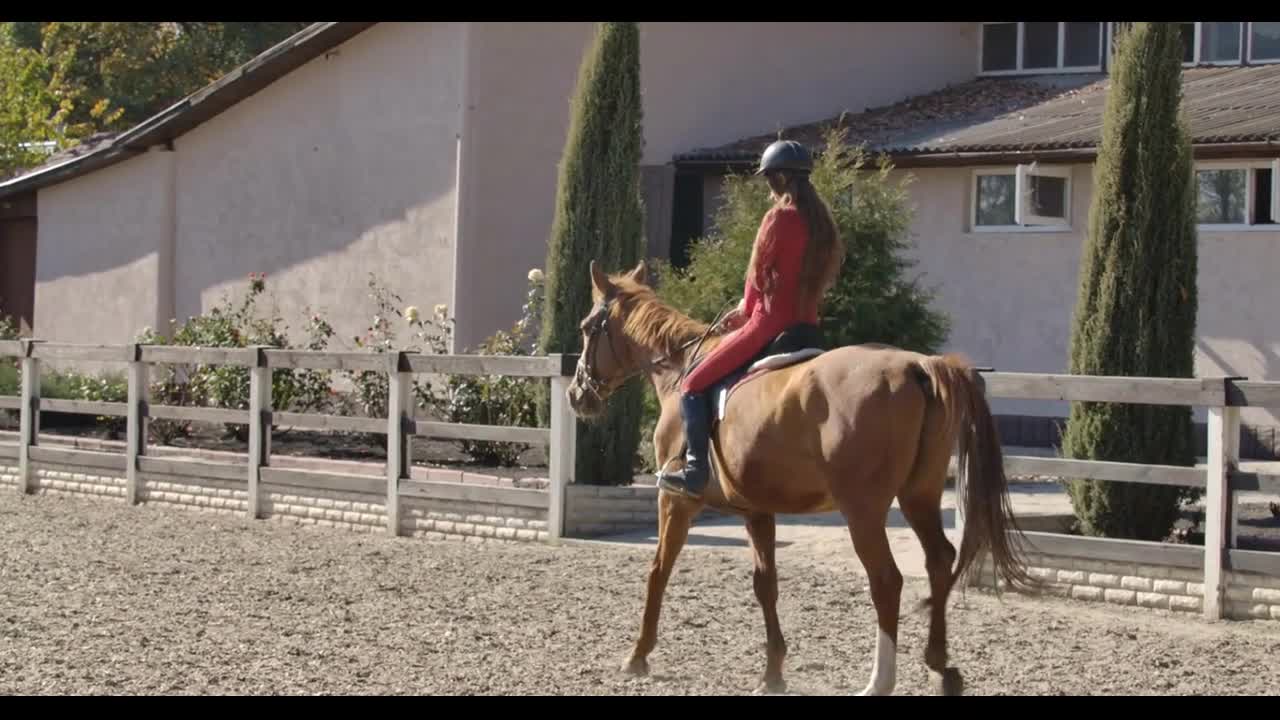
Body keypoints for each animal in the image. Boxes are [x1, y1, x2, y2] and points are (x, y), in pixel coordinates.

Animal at [565, 257, 1034, 691]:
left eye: (587, 328)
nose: (576, 394)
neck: (678, 369)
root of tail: (915, 367)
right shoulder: (757, 511)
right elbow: (765, 584)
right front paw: (772, 673)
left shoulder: (676, 500)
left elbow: (658, 570)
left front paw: (637, 655)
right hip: (919, 495)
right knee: (938, 560)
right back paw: (941, 666)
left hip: (863, 510)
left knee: (886, 580)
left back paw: (879, 680)